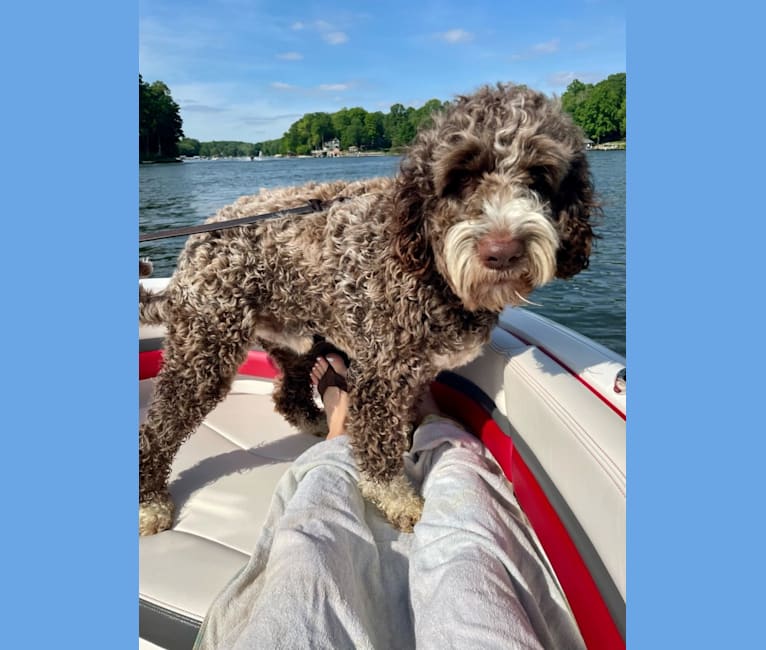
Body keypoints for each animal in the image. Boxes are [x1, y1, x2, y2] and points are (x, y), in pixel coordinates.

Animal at [138, 83, 600, 536]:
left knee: (288, 394)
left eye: (539, 175)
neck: (429, 265)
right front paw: (396, 497)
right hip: (205, 350)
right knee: (159, 426)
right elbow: (380, 443)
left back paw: (316, 421)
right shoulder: (383, 375)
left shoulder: (415, 370)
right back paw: (151, 499)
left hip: (294, 337)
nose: (502, 251)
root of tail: (200, 238)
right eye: (460, 176)